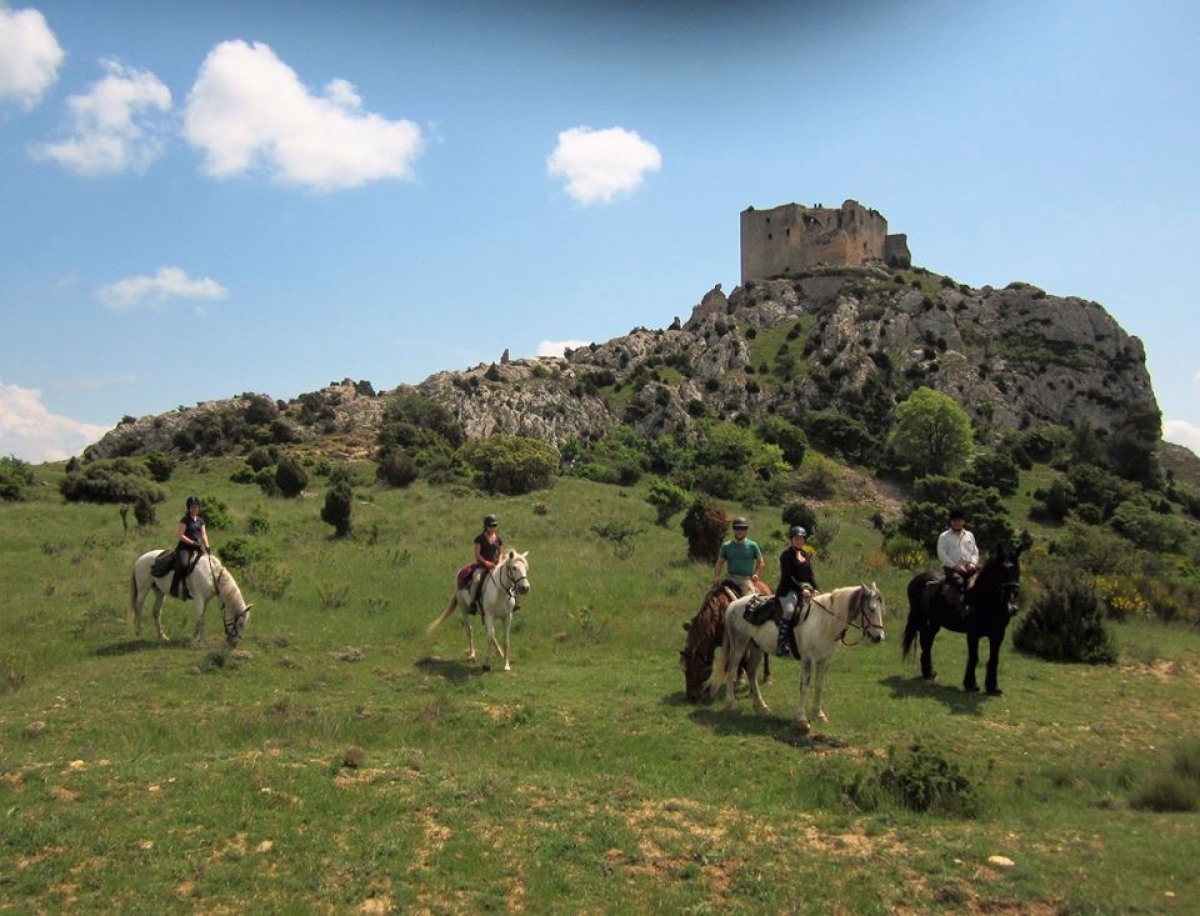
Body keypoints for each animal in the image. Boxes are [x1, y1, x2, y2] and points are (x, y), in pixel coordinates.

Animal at [706, 584, 885, 732]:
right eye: (871, 609)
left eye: (881, 609)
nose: (878, 637)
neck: (824, 621)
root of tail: (734, 604)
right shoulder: (807, 659)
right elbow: (804, 687)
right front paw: (801, 719)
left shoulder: (825, 660)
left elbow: (819, 686)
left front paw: (818, 714)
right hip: (739, 645)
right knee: (731, 671)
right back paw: (732, 704)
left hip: (756, 648)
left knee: (751, 673)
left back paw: (761, 706)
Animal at [902, 539, 1026, 695]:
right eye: (1002, 569)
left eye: (1017, 568)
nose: (1012, 592)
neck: (984, 598)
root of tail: (917, 580)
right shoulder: (973, 634)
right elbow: (974, 657)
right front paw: (971, 685)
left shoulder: (998, 635)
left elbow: (994, 659)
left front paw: (993, 687)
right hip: (922, 620)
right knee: (926, 642)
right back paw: (928, 673)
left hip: (934, 624)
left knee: (927, 643)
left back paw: (929, 673)